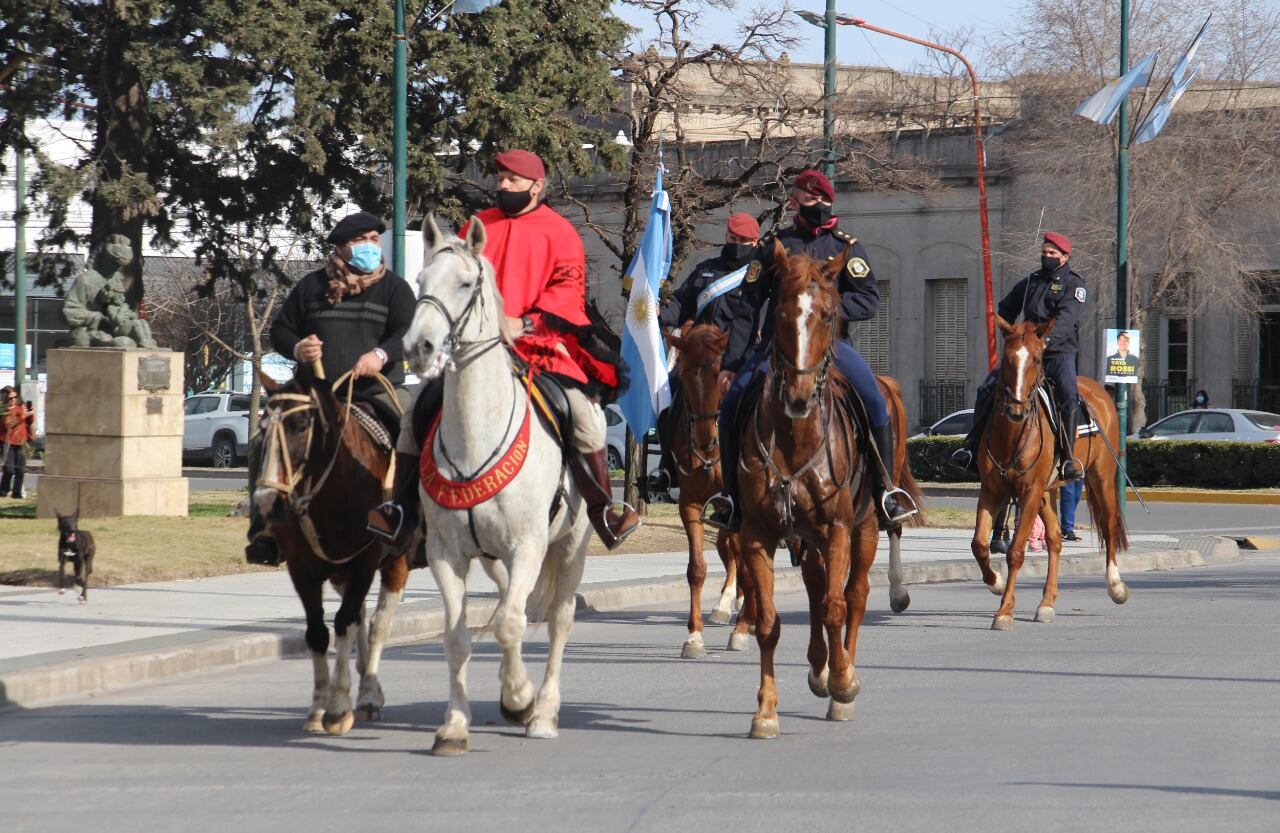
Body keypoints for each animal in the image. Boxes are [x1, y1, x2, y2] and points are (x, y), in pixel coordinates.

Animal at [259, 368, 414, 731]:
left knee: (378, 623)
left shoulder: (365, 562)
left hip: (393, 562)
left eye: (301, 424)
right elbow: (318, 631)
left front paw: (339, 706)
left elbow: (345, 623)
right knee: (363, 618)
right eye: (261, 428)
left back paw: (368, 694)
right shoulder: (302, 568)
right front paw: (319, 706)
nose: (266, 500)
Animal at [404, 214, 593, 757]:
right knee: (517, 601)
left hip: (570, 546)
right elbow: (459, 637)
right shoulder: (447, 552)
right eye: (420, 281)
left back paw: (543, 710)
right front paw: (454, 727)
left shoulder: (529, 545)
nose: (419, 347)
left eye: (467, 284)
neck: (476, 434)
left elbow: (510, 624)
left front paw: (521, 699)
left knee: (557, 619)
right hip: (493, 558)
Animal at [660, 323, 747, 660]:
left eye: (721, 377)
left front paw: (742, 630)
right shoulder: (690, 504)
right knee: (729, 547)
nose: (704, 440)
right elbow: (696, 568)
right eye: (684, 379)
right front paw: (694, 637)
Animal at [737, 239, 926, 737]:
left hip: (863, 527)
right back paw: (819, 667)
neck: (795, 440)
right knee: (817, 591)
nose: (799, 397)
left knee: (853, 595)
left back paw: (843, 674)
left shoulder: (839, 527)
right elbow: (770, 621)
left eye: (826, 314)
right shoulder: (757, 535)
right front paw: (766, 710)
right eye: (782, 311)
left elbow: (839, 606)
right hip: (809, 540)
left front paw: (843, 683)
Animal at [967, 319, 1131, 632]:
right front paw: (996, 583)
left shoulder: (1029, 491)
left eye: (1036, 359)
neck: (1012, 435)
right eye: (1007, 358)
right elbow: (979, 544)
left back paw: (1115, 585)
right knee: (1055, 538)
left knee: (1109, 526)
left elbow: (1015, 552)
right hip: (1047, 492)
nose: (1016, 409)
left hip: (1101, 478)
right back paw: (1046, 603)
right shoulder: (992, 490)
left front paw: (1004, 610)